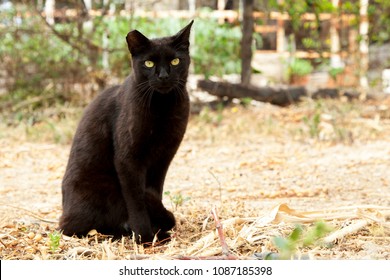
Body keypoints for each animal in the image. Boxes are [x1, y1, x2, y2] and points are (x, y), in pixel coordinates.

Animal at [59, 20, 193, 244]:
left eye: (175, 61)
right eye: (149, 63)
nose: (163, 76)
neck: (162, 107)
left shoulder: (163, 159)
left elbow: (155, 191)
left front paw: (156, 231)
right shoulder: (128, 159)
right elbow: (136, 200)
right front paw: (144, 236)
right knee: (76, 227)